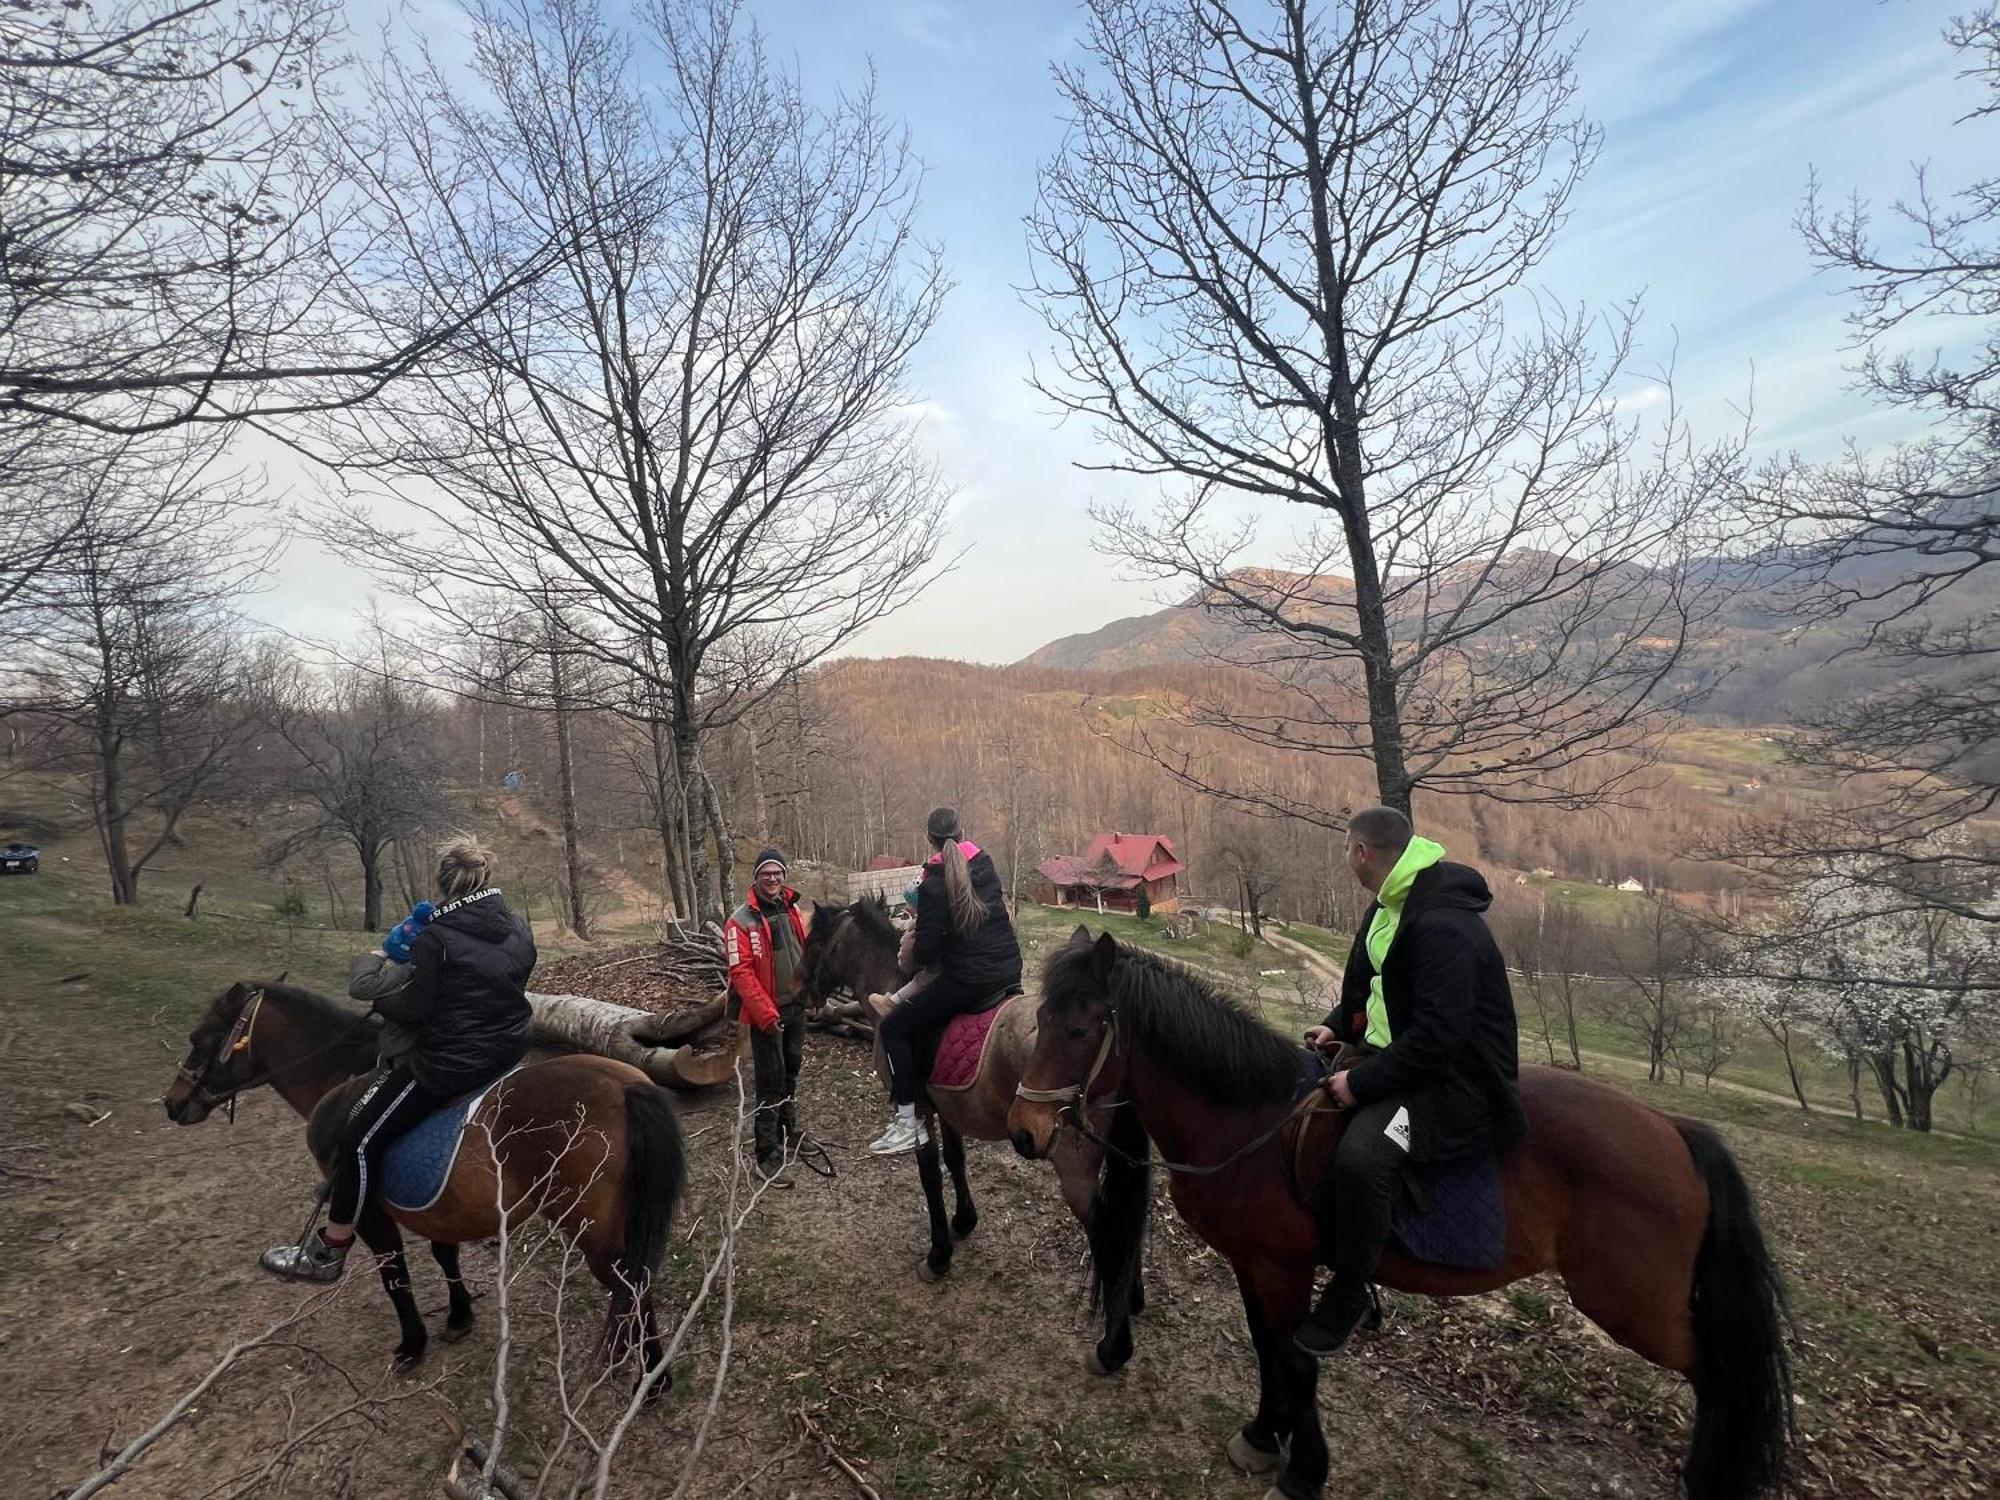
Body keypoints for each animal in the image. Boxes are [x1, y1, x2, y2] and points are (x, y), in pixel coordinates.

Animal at [160, 976, 688, 1384]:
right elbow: (444, 1255)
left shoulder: (368, 1210)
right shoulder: (444, 1207)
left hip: (589, 1228)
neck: (346, 1078)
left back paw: (650, 1379)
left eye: (200, 1037)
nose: (172, 1103)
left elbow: (395, 1275)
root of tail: (626, 1086)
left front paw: (411, 1344)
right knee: (637, 1280)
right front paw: (458, 1316)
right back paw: (648, 1373)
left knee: (630, 1284)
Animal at [792, 900, 1152, 1384]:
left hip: (1074, 1167)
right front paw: (964, 1221)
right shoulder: (947, 1108)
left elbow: (930, 1174)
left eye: (813, 942)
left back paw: (1114, 1347)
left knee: (1106, 1228)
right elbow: (956, 1160)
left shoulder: (920, 1109)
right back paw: (1130, 1298)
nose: (797, 990)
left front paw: (938, 1254)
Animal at [1008, 936, 1792, 1500]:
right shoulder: (1251, 1263)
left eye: (1078, 1027)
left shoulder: (1284, 1269)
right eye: (1039, 1020)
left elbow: (1297, 1358)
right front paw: (1264, 1436)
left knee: (1721, 1376)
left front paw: (1305, 1468)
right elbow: (1266, 1349)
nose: (1023, 1131)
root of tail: (1677, 1130)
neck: (1249, 1121)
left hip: (1633, 1306)